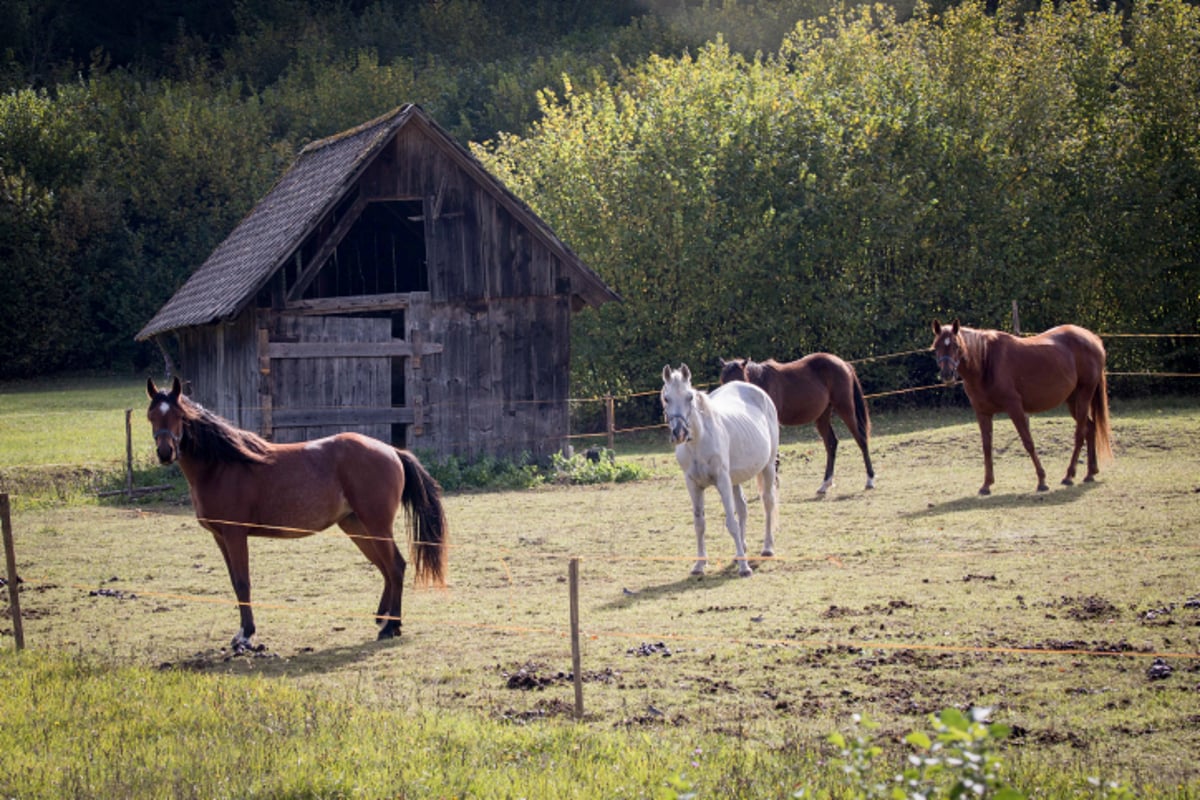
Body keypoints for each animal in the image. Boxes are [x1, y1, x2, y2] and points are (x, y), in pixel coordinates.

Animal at [145, 376, 446, 652]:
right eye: (151, 416)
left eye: (179, 416)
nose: (165, 452)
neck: (222, 466)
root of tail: (392, 450)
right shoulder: (220, 537)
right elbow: (234, 582)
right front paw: (240, 634)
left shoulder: (234, 534)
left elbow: (243, 582)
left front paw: (247, 635)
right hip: (356, 526)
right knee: (385, 568)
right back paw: (384, 620)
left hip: (376, 525)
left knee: (395, 566)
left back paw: (390, 627)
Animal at [662, 362, 782, 575]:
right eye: (667, 398)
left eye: (689, 397)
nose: (680, 433)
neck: (699, 442)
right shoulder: (693, 484)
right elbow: (699, 523)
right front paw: (699, 565)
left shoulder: (722, 480)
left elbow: (731, 523)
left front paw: (744, 568)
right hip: (735, 479)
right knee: (742, 507)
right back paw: (741, 551)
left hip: (767, 467)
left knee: (768, 502)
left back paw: (767, 548)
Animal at [715, 352, 878, 491]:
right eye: (723, 381)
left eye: (740, 379)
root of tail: (843, 364)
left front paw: (774, 483)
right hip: (823, 416)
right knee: (831, 444)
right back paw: (825, 484)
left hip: (845, 408)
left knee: (861, 439)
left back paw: (869, 480)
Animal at [926, 319, 1113, 494]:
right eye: (936, 347)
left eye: (956, 346)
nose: (947, 374)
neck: (986, 363)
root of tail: (1093, 338)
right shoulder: (983, 413)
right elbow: (987, 447)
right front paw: (986, 484)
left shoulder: (1014, 408)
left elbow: (1028, 442)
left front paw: (1042, 481)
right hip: (1073, 400)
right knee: (1090, 428)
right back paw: (1090, 473)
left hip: (1084, 395)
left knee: (1080, 433)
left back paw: (1069, 476)